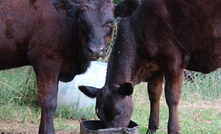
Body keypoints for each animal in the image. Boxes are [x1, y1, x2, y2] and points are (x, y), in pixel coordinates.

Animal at [79, 0, 221, 133]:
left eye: (118, 112)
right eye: (98, 113)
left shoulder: (174, 62)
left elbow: (172, 97)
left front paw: (173, 129)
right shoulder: (156, 66)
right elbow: (154, 94)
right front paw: (151, 128)